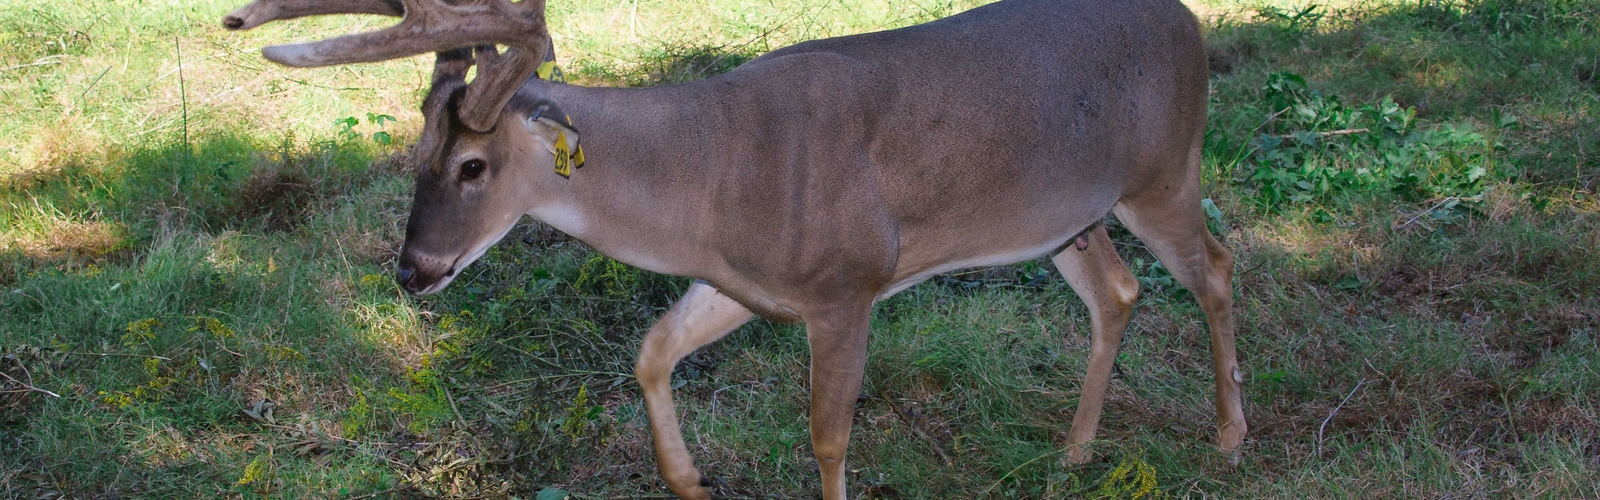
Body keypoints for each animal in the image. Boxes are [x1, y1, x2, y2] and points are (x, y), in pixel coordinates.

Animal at [223, 0, 1244, 497]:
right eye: (414, 156)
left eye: (473, 165)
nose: (414, 270)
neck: (712, 177)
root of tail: (1190, 19)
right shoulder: (743, 285)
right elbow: (650, 353)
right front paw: (692, 481)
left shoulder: (847, 284)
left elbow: (828, 435)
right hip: (1069, 214)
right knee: (1118, 291)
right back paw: (1074, 453)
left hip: (1165, 170)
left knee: (1217, 268)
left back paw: (1231, 435)